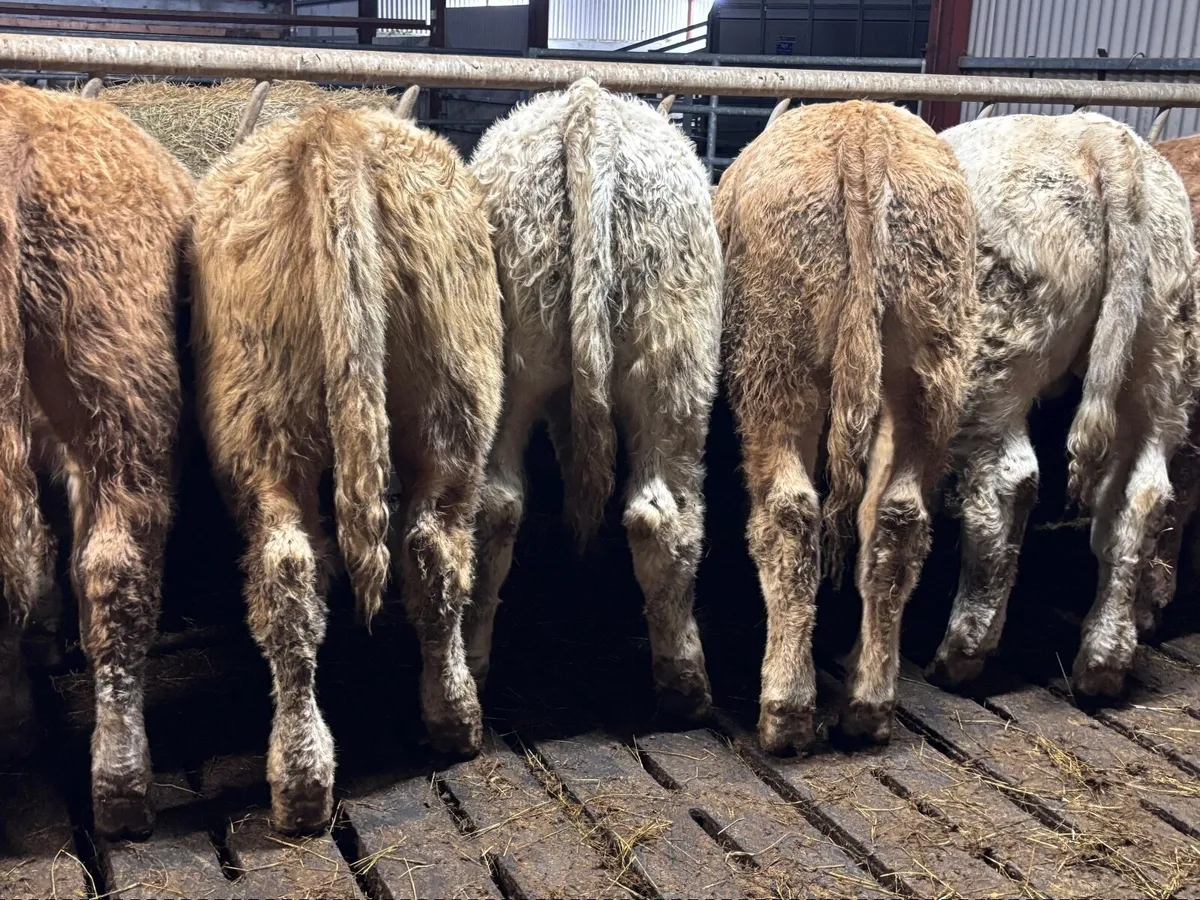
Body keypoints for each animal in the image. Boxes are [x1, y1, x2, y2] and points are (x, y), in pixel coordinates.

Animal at [466, 78, 723, 718]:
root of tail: (590, 107)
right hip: (679, 374)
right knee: (666, 517)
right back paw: (686, 685)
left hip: (510, 367)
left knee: (494, 507)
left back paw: (474, 667)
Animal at [715, 99, 979, 751]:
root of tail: (864, 141)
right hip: (928, 366)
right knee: (897, 516)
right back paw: (869, 702)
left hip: (776, 359)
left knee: (789, 514)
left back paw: (785, 710)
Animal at [929, 113, 1199, 698]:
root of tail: (1102, 143)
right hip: (1161, 362)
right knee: (1142, 495)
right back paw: (1103, 660)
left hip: (993, 362)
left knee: (1008, 484)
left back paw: (962, 651)